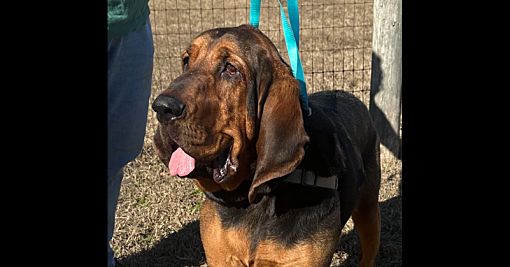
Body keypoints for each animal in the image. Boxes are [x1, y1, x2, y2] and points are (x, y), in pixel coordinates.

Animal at [153, 24, 380, 266]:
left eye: (231, 69)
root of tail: (351, 97)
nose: (161, 108)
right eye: (186, 61)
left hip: (369, 213)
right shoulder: (220, 256)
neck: (253, 198)